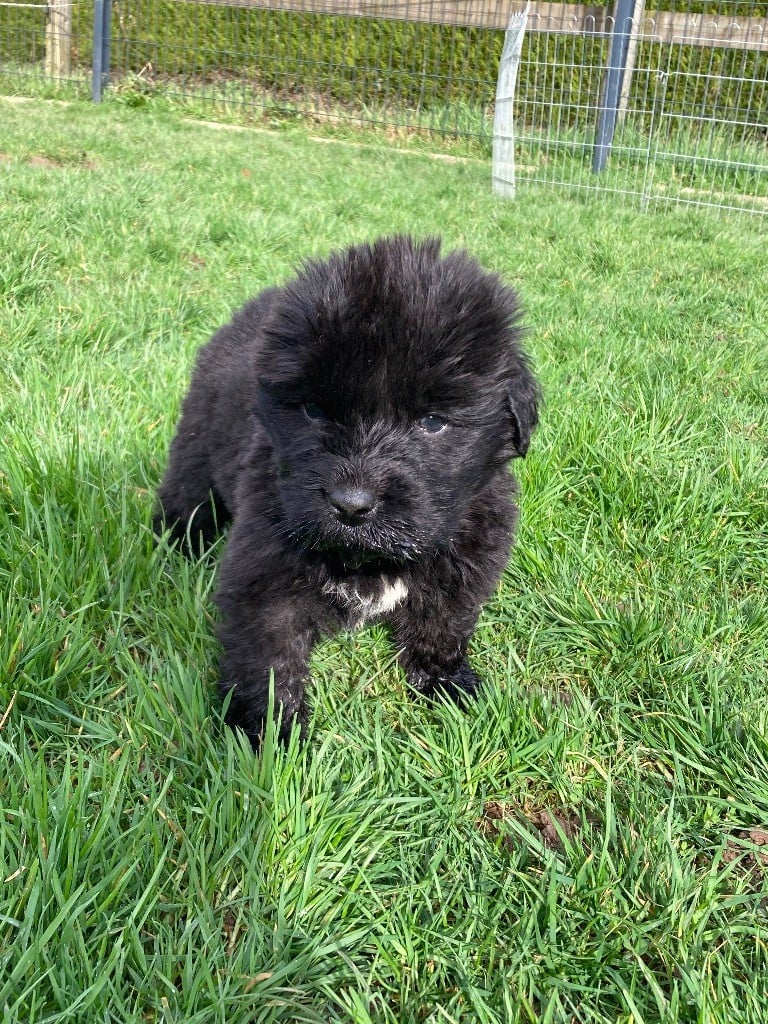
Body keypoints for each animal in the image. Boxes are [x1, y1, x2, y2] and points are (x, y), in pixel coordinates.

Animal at [155, 236, 539, 748]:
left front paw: (446, 683)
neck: (367, 557)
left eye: (432, 421)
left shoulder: (468, 558)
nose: (350, 506)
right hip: (195, 453)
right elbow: (269, 659)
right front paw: (266, 736)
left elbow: (444, 621)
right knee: (184, 500)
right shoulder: (265, 575)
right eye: (313, 411)